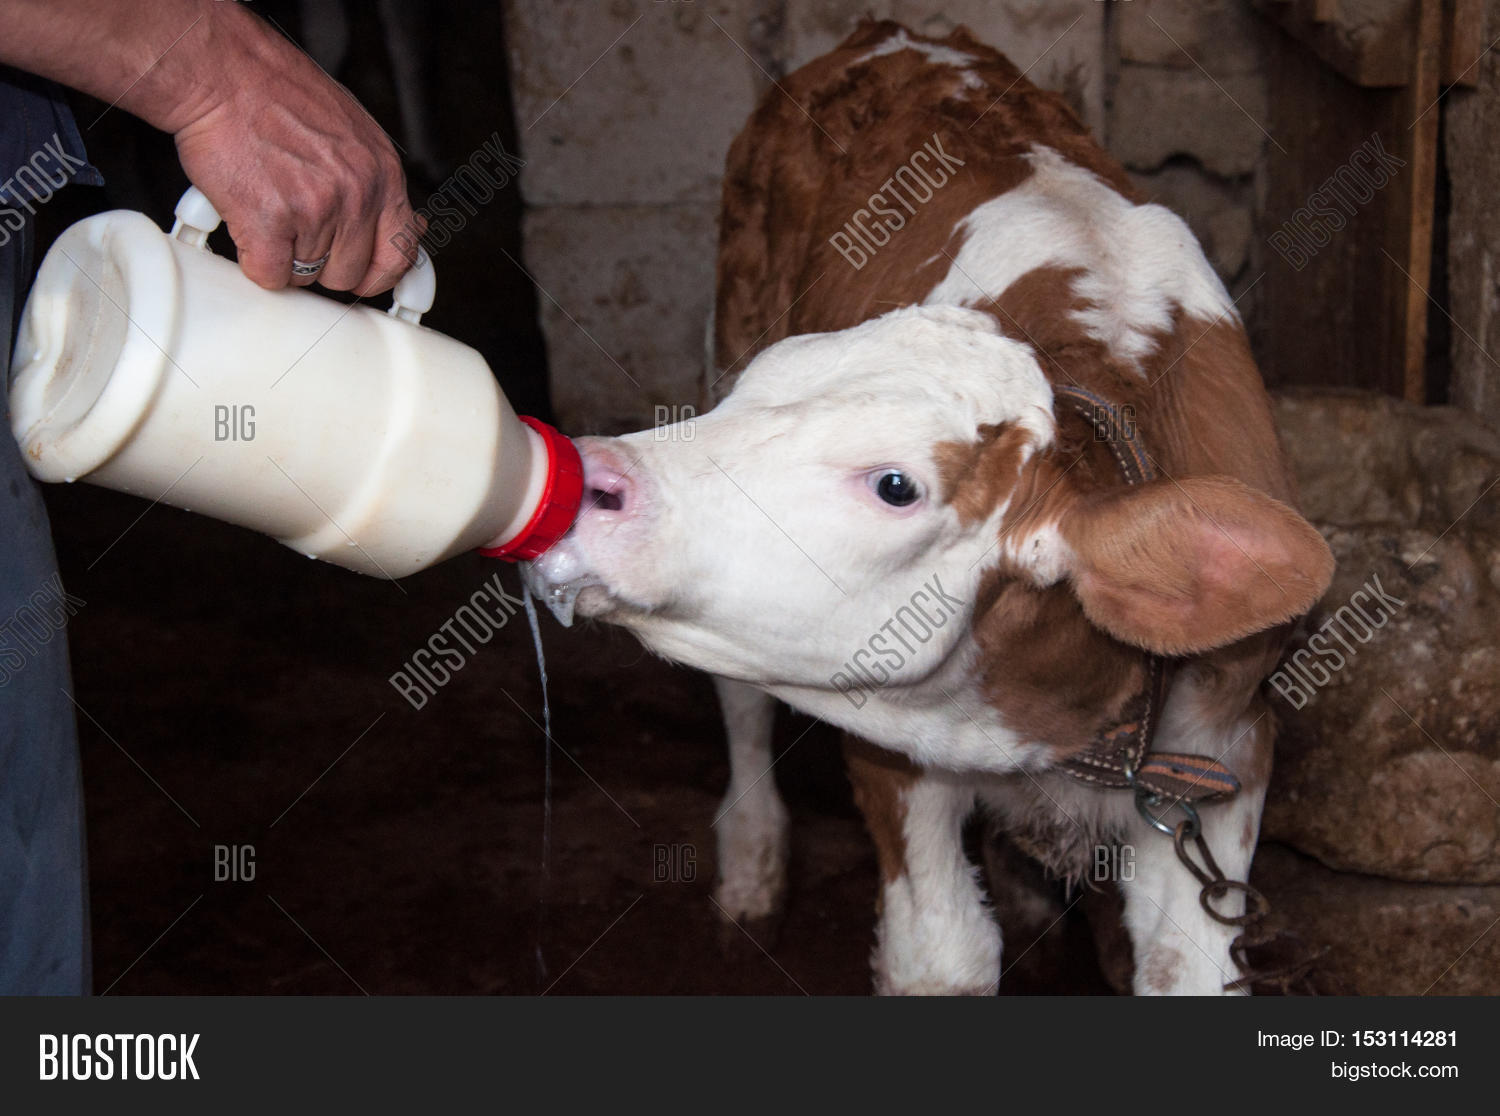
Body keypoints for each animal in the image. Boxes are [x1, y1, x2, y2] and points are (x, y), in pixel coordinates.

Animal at [524, 20, 1334, 995]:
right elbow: (943, 954)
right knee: (743, 709)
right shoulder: (889, 751)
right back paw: (752, 862)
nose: (591, 476)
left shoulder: (1226, 746)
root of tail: (896, 32)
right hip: (728, 320)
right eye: (765, 387)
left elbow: (1187, 966)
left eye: (896, 485)